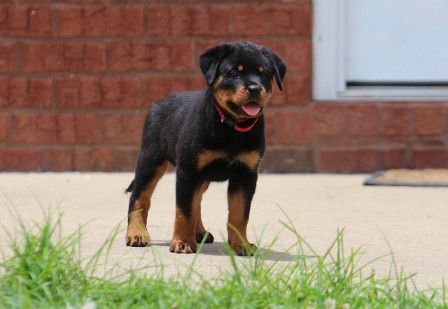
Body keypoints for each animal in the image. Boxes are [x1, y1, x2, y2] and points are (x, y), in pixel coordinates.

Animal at [125, 41, 288, 255]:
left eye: (265, 74)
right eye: (234, 72)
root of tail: (156, 104)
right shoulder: (187, 171)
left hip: (201, 176)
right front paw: (182, 242)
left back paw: (199, 232)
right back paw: (137, 234)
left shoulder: (245, 174)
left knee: (197, 201)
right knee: (139, 197)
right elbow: (184, 210)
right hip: (150, 160)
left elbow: (239, 214)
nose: (254, 88)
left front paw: (241, 244)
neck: (231, 127)